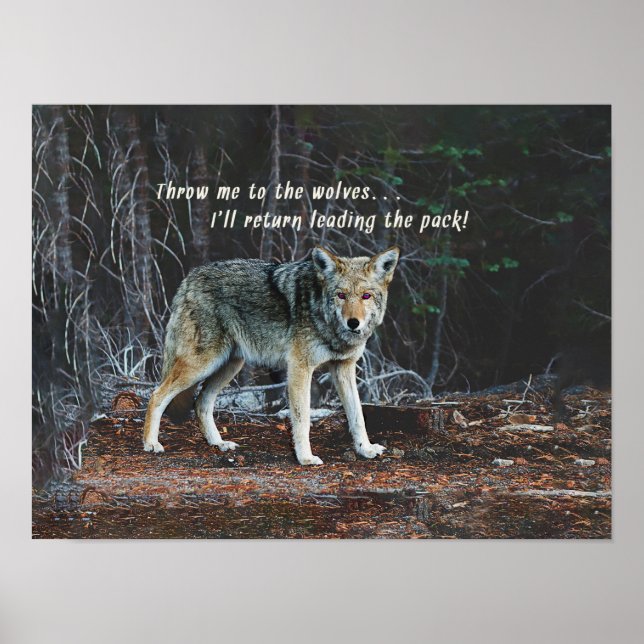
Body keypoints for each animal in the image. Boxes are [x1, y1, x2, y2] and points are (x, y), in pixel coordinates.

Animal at [142, 246, 400, 465]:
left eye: (366, 296)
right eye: (341, 295)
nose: (353, 323)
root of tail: (189, 278)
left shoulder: (344, 368)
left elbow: (358, 416)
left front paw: (365, 449)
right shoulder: (299, 368)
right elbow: (302, 419)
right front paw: (305, 458)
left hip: (229, 365)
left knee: (201, 403)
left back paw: (219, 443)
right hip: (202, 364)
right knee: (156, 395)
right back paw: (151, 444)